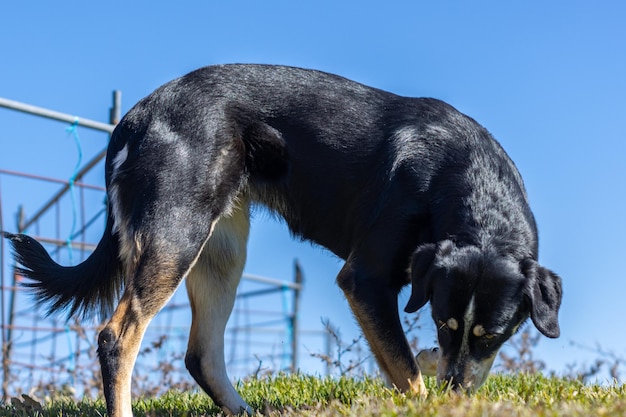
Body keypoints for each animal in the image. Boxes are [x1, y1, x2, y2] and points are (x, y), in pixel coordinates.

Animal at [4, 63, 560, 414]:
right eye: (446, 324)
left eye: (493, 335)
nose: (457, 393)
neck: (470, 183)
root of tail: (135, 117)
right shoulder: (365, 280)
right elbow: (407, 372)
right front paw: (428, 396)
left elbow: (408, 361)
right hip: (176, 235)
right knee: (117, 337)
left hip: (221, 252)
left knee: (201, 354)